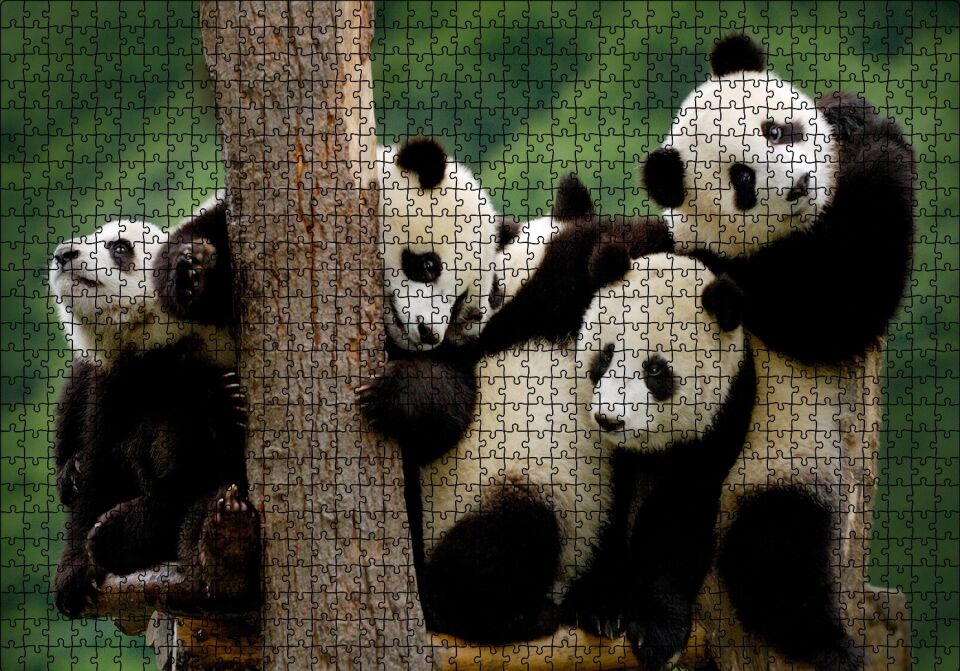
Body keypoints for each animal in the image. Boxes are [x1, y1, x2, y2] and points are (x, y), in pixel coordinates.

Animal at [418, 253, 752, 660]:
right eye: (606, 355)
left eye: (656, 369)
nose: (608, 418)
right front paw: (600, 607)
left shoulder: (719, 420)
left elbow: (679, 515)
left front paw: (653, 628)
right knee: (509, 536)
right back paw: (510, 613)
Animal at [641, 34, 914, 670]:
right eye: (741, 179)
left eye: (775, 129)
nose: (797, 185)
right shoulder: (751, 280)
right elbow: (842, 303)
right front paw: (881, 142)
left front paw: (848, 112)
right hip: (766, 469)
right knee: (774, 550)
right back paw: (827, 643)